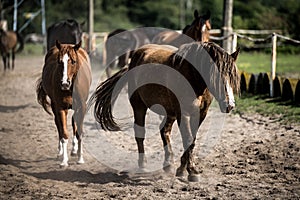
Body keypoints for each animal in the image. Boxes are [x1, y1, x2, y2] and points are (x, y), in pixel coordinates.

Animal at [88, 41, 239, 181]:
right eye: (216, 76)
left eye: (232, 77)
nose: (230, 105)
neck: (193, 79)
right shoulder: (182, 113)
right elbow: (188, 139)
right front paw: (192, 171)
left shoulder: (201, 114)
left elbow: (192, 140)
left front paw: (182, 169)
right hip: (139, 106)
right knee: (140, 134)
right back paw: (143, 165)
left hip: (169, 112)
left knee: (164, 131)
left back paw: (168, 164)